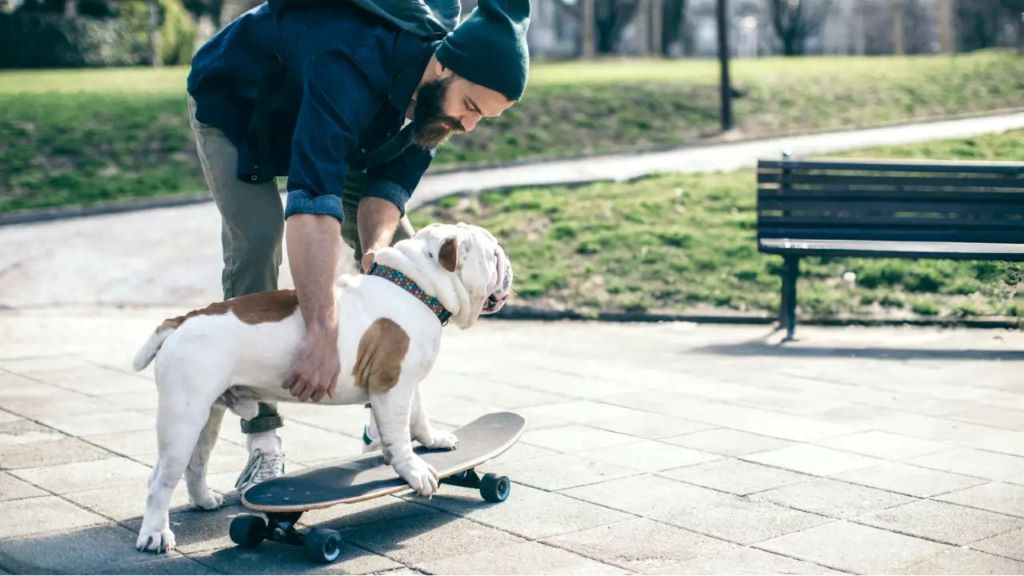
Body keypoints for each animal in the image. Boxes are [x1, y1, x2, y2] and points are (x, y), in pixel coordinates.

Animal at [132, 222, 512, 549]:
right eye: (493, 254)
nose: (508, 263)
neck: (417, 287)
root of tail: (181, 320)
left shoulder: (405, 378)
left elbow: (417, 416)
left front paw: (433, 442)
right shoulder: (391, 385)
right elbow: (400, 435)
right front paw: (414, 470)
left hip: (206, 416)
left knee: (196, 462)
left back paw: (203, 500)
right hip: (182, 417)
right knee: (159, 480)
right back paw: (155, 535)